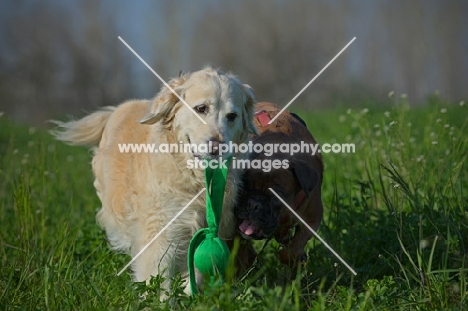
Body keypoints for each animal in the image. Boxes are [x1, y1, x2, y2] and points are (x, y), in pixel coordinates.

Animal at [53, 67, 258, 294]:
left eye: (232, 116)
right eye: (201, 108)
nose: (217, 147)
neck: (193, 179)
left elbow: (197, 271)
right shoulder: (161, 231)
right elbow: (158, 280)